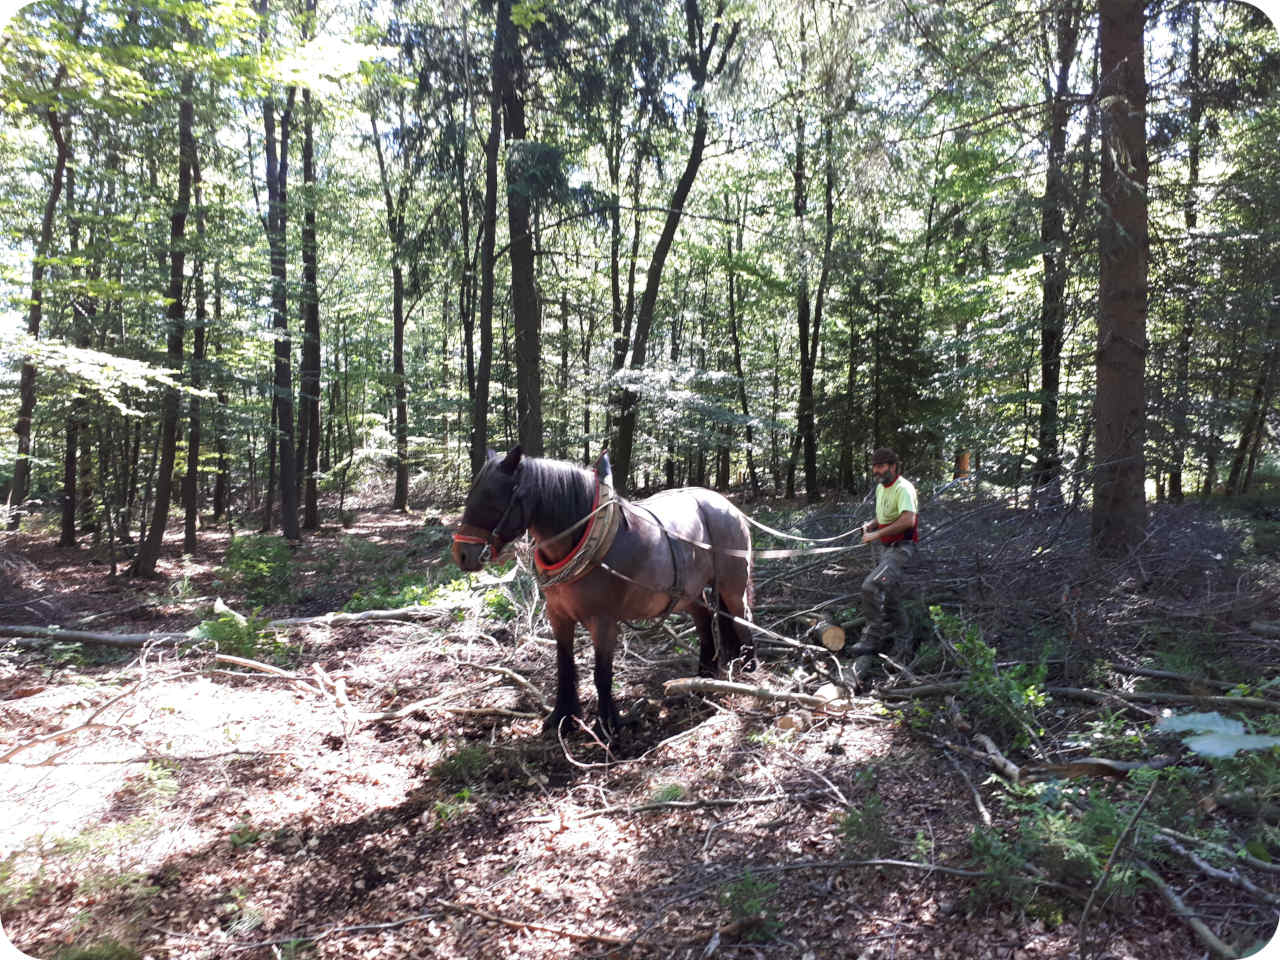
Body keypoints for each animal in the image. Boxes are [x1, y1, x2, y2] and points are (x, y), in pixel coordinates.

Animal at [453, 450, 752, 737]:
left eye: (491, 498)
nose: (462, 554)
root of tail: (727, 506)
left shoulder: (604, 621)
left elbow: (602, 674)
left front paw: (607, 725)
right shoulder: (558, 615)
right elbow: (564, 665)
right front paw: (563, 717)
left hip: (732, 586)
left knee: (741, 617)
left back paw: (748, 669)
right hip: (690, 593)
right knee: (705, 622)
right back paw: (703, 678)